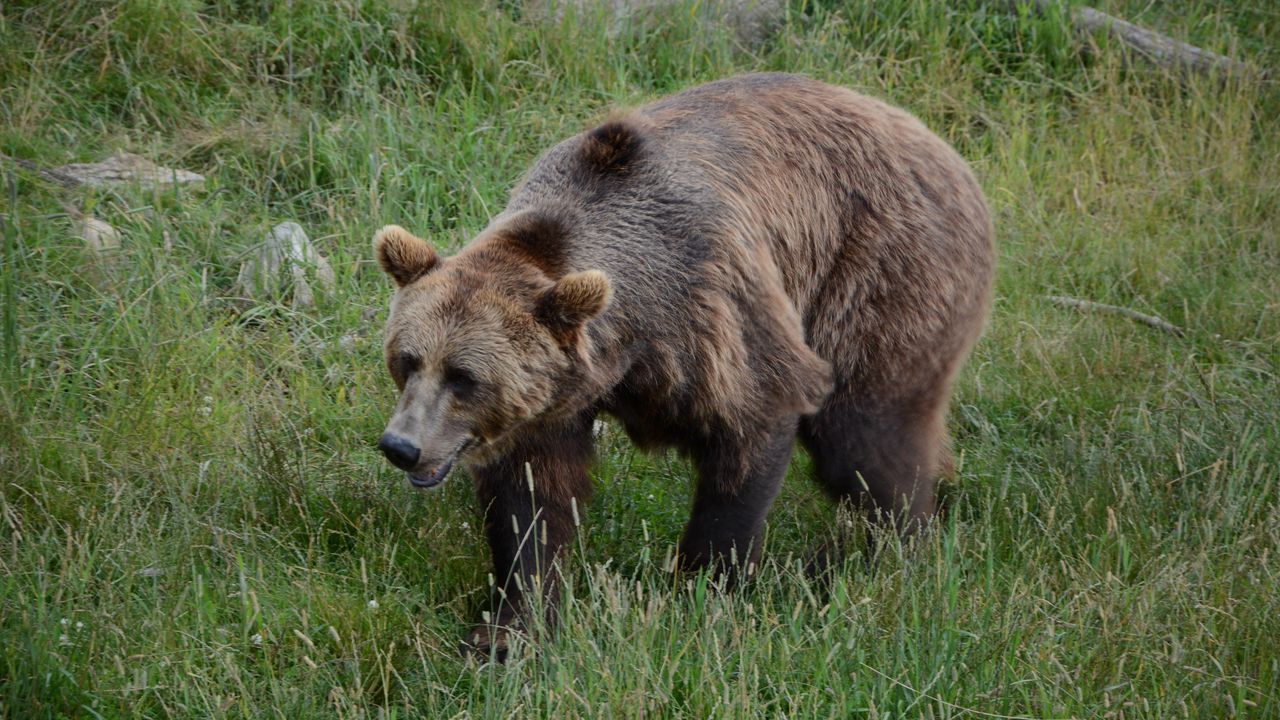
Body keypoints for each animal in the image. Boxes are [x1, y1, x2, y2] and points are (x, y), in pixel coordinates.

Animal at [371, 73, 988, 655]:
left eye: (464, 377)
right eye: (407, 360)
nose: (402, 446)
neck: (630, 340)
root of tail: (944, 147)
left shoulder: (713, 314)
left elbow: (750, 434)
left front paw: (701, 593)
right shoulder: (552, 398)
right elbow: (532, 499)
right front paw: (507, 630)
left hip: (877, 273)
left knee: (865, 436)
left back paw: (868, 556)